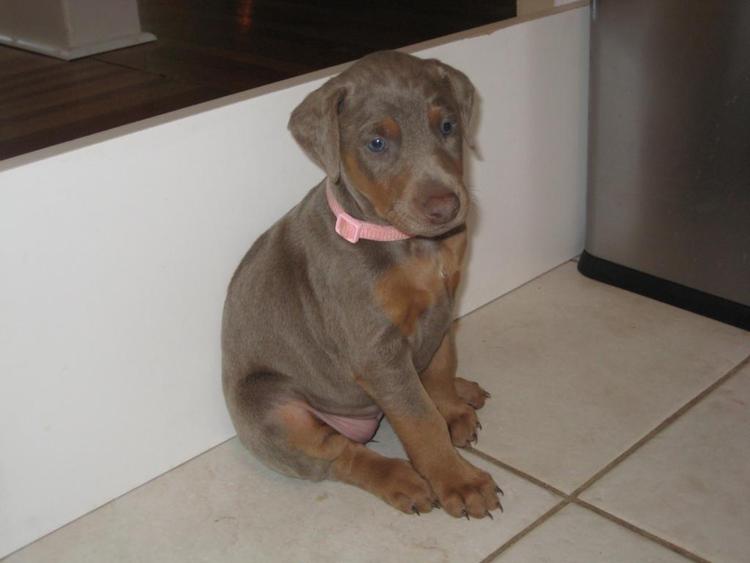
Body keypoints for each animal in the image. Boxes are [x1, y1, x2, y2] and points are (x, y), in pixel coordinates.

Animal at [223, 49, 506, 520]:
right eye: (376, 143)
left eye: (448, 126)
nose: (445, 206)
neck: (405, 243)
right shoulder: (377, 350)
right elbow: (420, 420)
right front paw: (458, 480)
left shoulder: (444, 306)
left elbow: (441, 367)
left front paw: (451, 407)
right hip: (274, 411)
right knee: (339, 456)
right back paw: (402, 480)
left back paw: (463, 393)